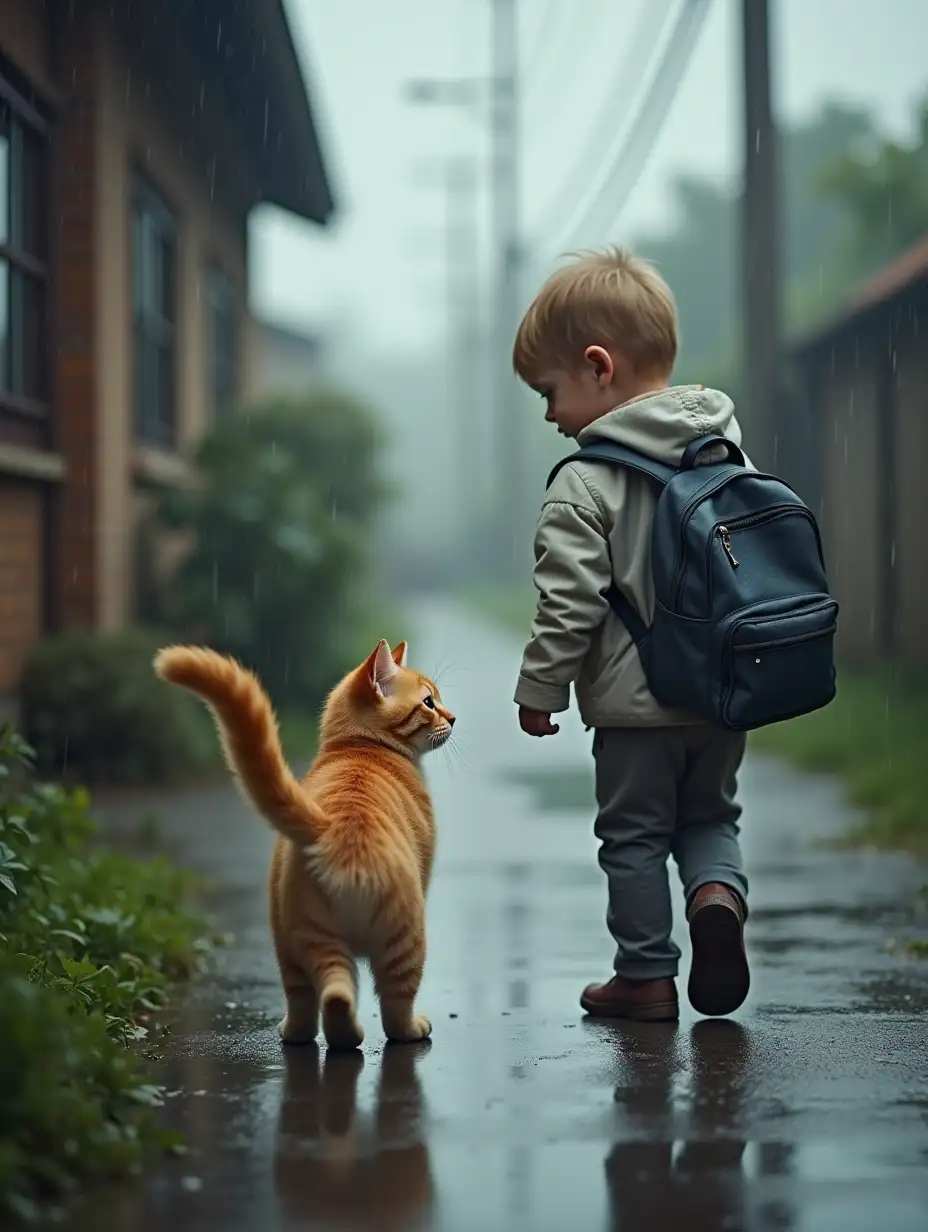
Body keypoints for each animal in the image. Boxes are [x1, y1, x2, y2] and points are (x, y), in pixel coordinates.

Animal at [154, 635, 453, 1049]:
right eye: (429, 702)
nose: (453, 718)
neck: (358, 746)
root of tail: (331, 827)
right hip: (406, 939)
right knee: (393, 1005)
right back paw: (408, 1029)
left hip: (298, 936)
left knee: (323, 996)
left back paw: (315, 1033)